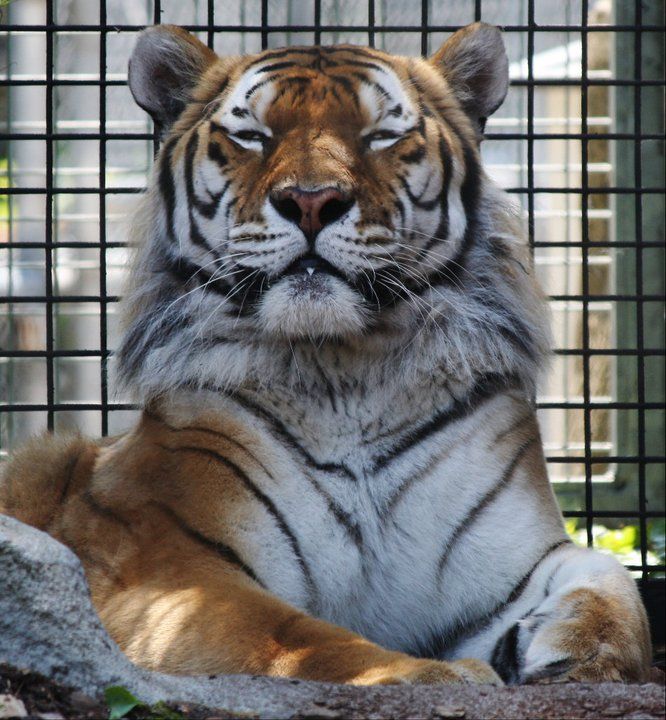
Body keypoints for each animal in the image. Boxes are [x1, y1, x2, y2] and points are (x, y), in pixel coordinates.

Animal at [0, 22, 652, 686]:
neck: (345, 371)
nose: (312, 201)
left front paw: (578, 651)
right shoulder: (166, 569)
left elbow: (617, 584)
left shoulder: (514, 560)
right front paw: (433, 677)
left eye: (381, 136)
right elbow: (293, 635)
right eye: (251, 137)